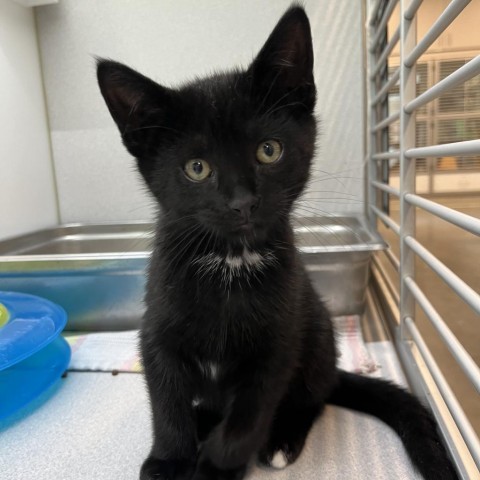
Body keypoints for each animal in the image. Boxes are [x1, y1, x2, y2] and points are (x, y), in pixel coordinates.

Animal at [96, 4, 458, 480]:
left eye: (268, 150)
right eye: (197, 168)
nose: (242, 202)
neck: (230, 262)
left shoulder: (279, 342)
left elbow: (249, 414)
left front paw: (218, 465)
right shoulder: (157, 330)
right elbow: (166, 401)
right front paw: (170, 459)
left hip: (316, 327)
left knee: (312, 398)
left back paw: (282, 439)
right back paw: (202, 420)